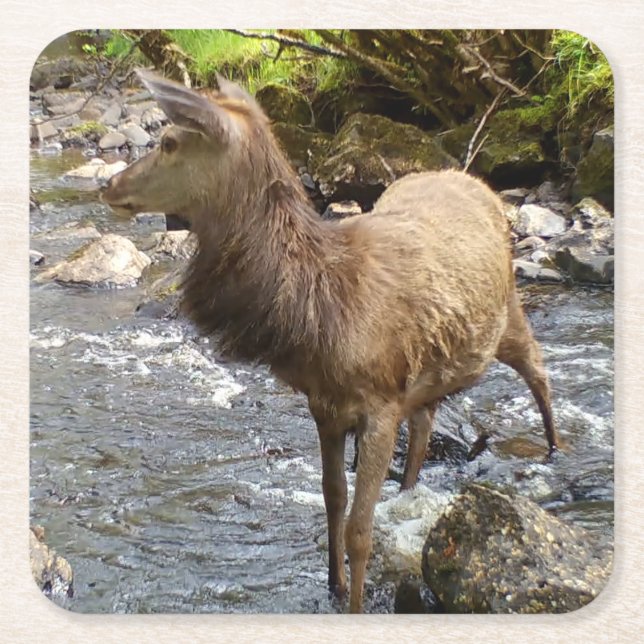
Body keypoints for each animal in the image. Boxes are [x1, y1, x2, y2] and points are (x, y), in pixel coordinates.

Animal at [101, 69, 558, 613]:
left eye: (169, 141)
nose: (108, 185)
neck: (320, 315)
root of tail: (476, 181)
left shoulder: (380, 403)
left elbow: (361, 529)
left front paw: (356, 601)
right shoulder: (326, 404)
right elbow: (331, 498)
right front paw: (333, 583)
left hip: (508, 311)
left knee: (538, 369)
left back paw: (554, 451)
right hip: (431, 369)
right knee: (426, 423)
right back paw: (412, 486)